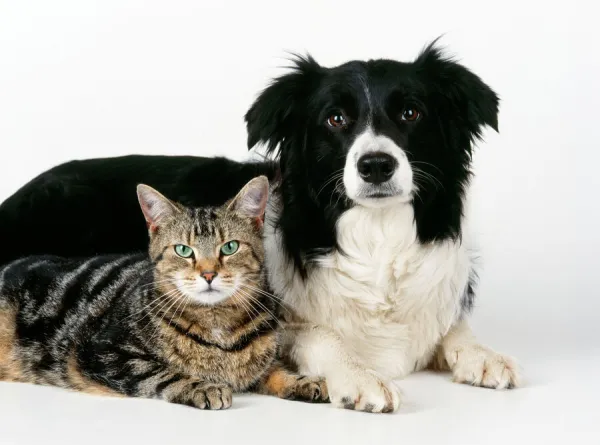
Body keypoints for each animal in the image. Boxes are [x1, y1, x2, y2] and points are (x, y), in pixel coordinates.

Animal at [0, 176, 328, 410]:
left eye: (230, 247)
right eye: (183, 250)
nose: (208, 274)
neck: (218, 324)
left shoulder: (260, 366)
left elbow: (275, 370)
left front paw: (301, 381)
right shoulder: (104, 353)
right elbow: (161, 373)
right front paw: (202, 386)